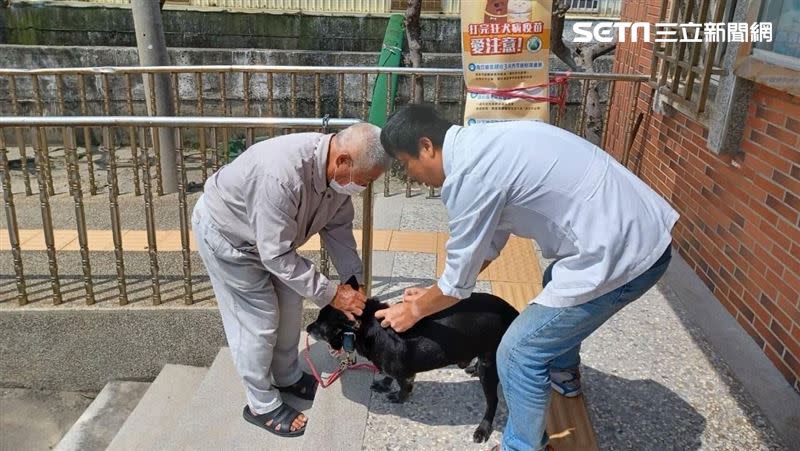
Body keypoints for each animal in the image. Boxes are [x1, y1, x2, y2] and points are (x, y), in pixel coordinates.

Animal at [306, 282, 520, 444]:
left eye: (319, 325)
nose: (307, 327)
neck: (368, 326)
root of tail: (513, 312)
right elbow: (388, 376)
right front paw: (384, 384)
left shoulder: (404, 373)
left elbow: (403, 386)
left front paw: (399, 396)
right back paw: (473, 368)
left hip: (489, 366)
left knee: (492, 401)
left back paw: (483, 428)